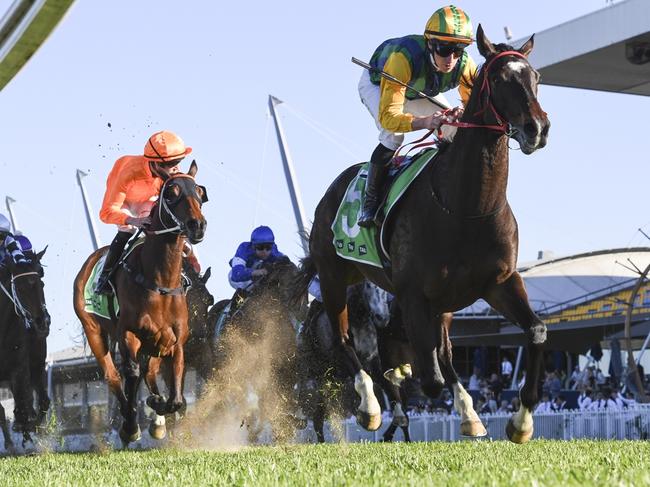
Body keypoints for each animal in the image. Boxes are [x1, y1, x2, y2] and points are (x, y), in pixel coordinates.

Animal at [72, 162, 206, 444]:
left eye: (200, 192)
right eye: (172, 193)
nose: (197, 225)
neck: (160, 281)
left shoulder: (175, 340)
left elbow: (176, 396)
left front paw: (158, 407)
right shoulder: (128, 333)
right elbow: (131, 373)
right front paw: (131, 424)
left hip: (155, 343)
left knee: (150, 373)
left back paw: (156, 416)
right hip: (94, 330)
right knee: (113, 376)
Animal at [292, 27, 548, 446]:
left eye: (536, 77)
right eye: (499, 79)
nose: (537, 128)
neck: (465, 208)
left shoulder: (500, 282)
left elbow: (537, 331)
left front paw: (521, 422)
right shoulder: (411, 294)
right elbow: (428, 381)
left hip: (440, 303)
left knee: (440, 355)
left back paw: (467, 414)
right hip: (333, 277)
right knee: (349, 344)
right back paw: (370, 406)